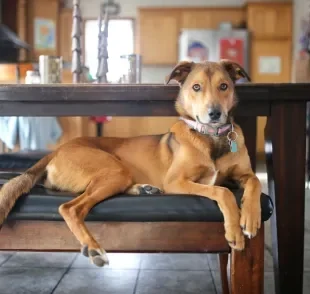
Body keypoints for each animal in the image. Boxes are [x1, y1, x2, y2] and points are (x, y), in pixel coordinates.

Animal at [0, 59, 262, 266]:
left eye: (224, 86)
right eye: (196, 87)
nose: (214, 114)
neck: (212, 138)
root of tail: (57, 151)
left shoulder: (243, 174)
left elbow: (255, 181)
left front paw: (250, 217)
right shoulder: (176, 182)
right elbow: (222, 191)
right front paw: (235, 230)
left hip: (116, 175)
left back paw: (144, 189)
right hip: (114, 170)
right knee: (70, 208)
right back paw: (93, 248)